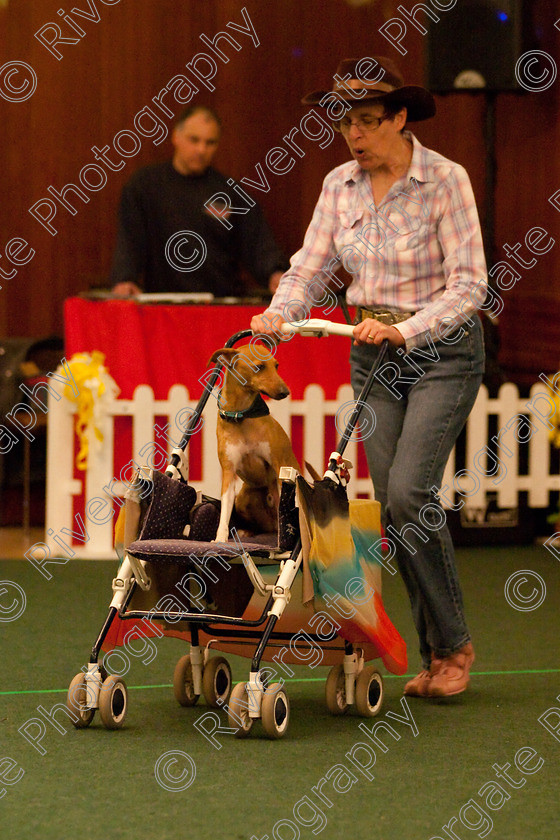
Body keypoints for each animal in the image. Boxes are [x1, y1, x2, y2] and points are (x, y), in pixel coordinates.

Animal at [210, 342, 304, 544]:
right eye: (259, 367)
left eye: (276, 366)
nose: (285, 392)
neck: (241, 416)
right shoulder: (229, 473)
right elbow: (224, 513)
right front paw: (220, 538)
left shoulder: (279, 468)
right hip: (244, 499)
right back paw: (248, 531)